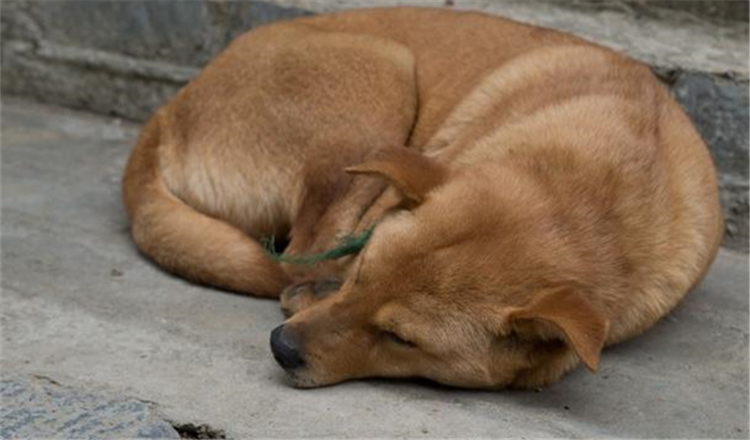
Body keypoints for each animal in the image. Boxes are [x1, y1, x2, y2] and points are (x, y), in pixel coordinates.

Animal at [125, 7, 728, 388]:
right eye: (361, 274)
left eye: (401, 339)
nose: (282, 348)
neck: (592, 190)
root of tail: (169, 111)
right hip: (383, 75)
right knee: (299, 254)